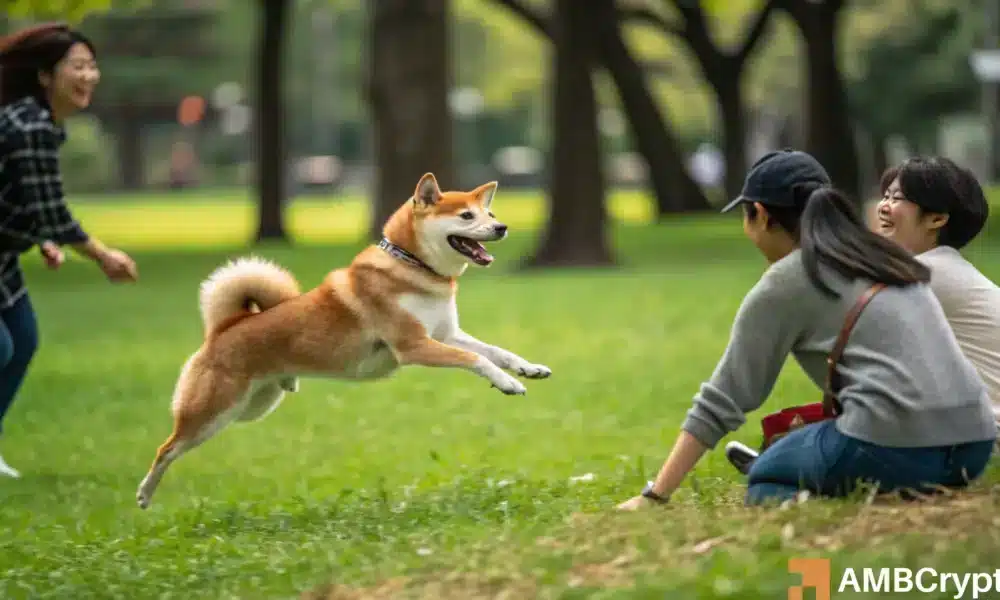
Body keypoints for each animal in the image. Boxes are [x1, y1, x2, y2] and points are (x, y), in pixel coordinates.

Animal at [134, 172, 552, 506]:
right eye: (467, 216)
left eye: (489, 215)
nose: (502, 228)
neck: (412, 267)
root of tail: (223, 328)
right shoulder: (414, 346)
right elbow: (477, 360)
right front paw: (508, 383)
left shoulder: (447, 334)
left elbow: (495, 351)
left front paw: (526, 369)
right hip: (214, 410)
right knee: (166, 448)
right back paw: (144, 493)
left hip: (252, 407)